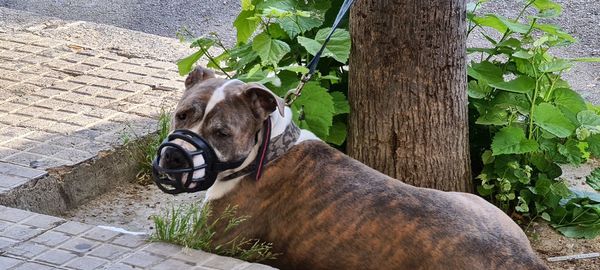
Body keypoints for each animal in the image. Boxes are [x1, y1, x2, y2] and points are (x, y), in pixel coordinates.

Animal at [159, 66, 548, 270]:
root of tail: (523, 260)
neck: (267, 150)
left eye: (222, 133)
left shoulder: (208, 241)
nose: (175, 157)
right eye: (182, 114)